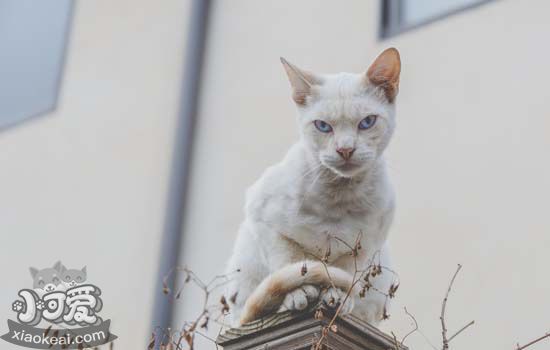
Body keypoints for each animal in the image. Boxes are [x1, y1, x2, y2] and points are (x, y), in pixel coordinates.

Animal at [226, 47, 404, 326]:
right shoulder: (265, 222)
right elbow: (290, 264)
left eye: (367, 122)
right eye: (323, 126)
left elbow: (343, 274)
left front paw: (337, 297)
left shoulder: (365, 246)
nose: (345, 150)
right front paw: (297, 294)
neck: (337, 199)